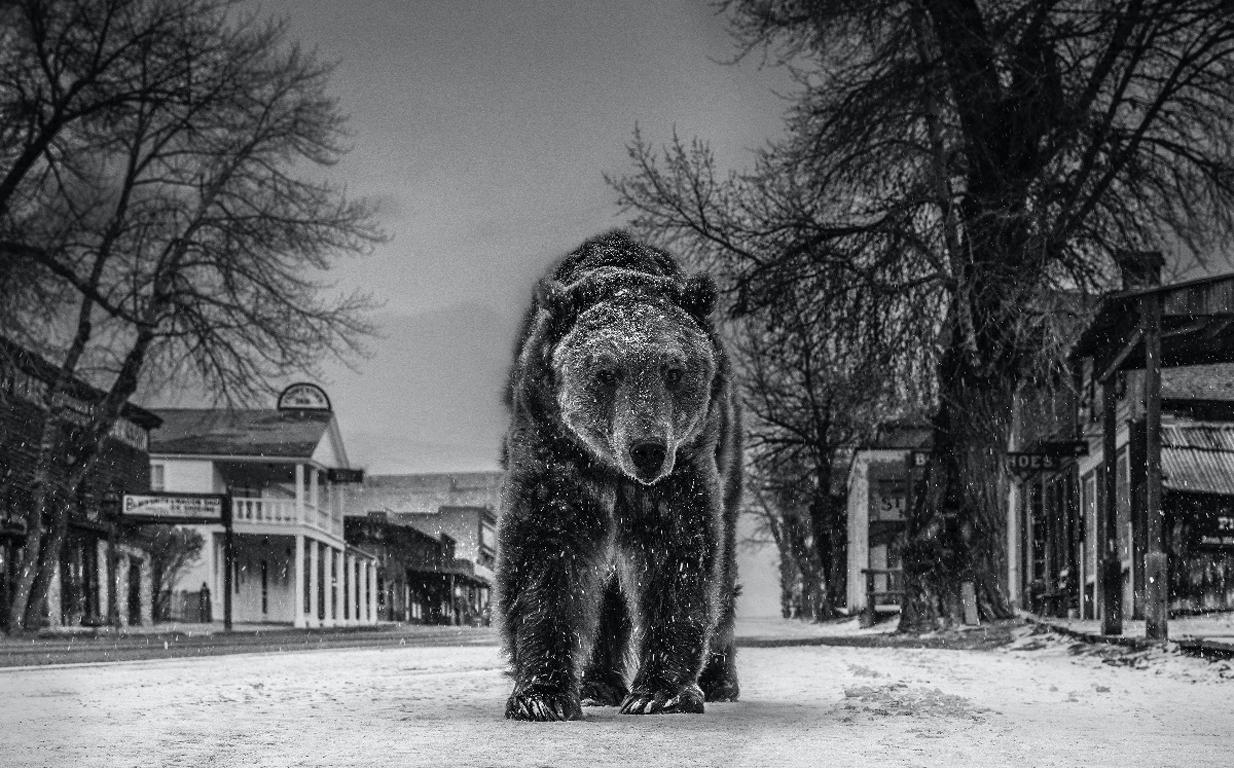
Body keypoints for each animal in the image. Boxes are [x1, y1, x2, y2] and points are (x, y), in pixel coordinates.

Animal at [493, 228, 740, 721]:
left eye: (673, 369)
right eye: (605, 372)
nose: (647, 450)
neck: (610, 470)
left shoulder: (684, 468)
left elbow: (678, 559)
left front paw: (660, 691)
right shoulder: (555, 454)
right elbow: (544, 558)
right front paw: (541, 695)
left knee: (722, 572)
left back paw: (719, 679)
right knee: (606, 592)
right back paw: (597, 683)